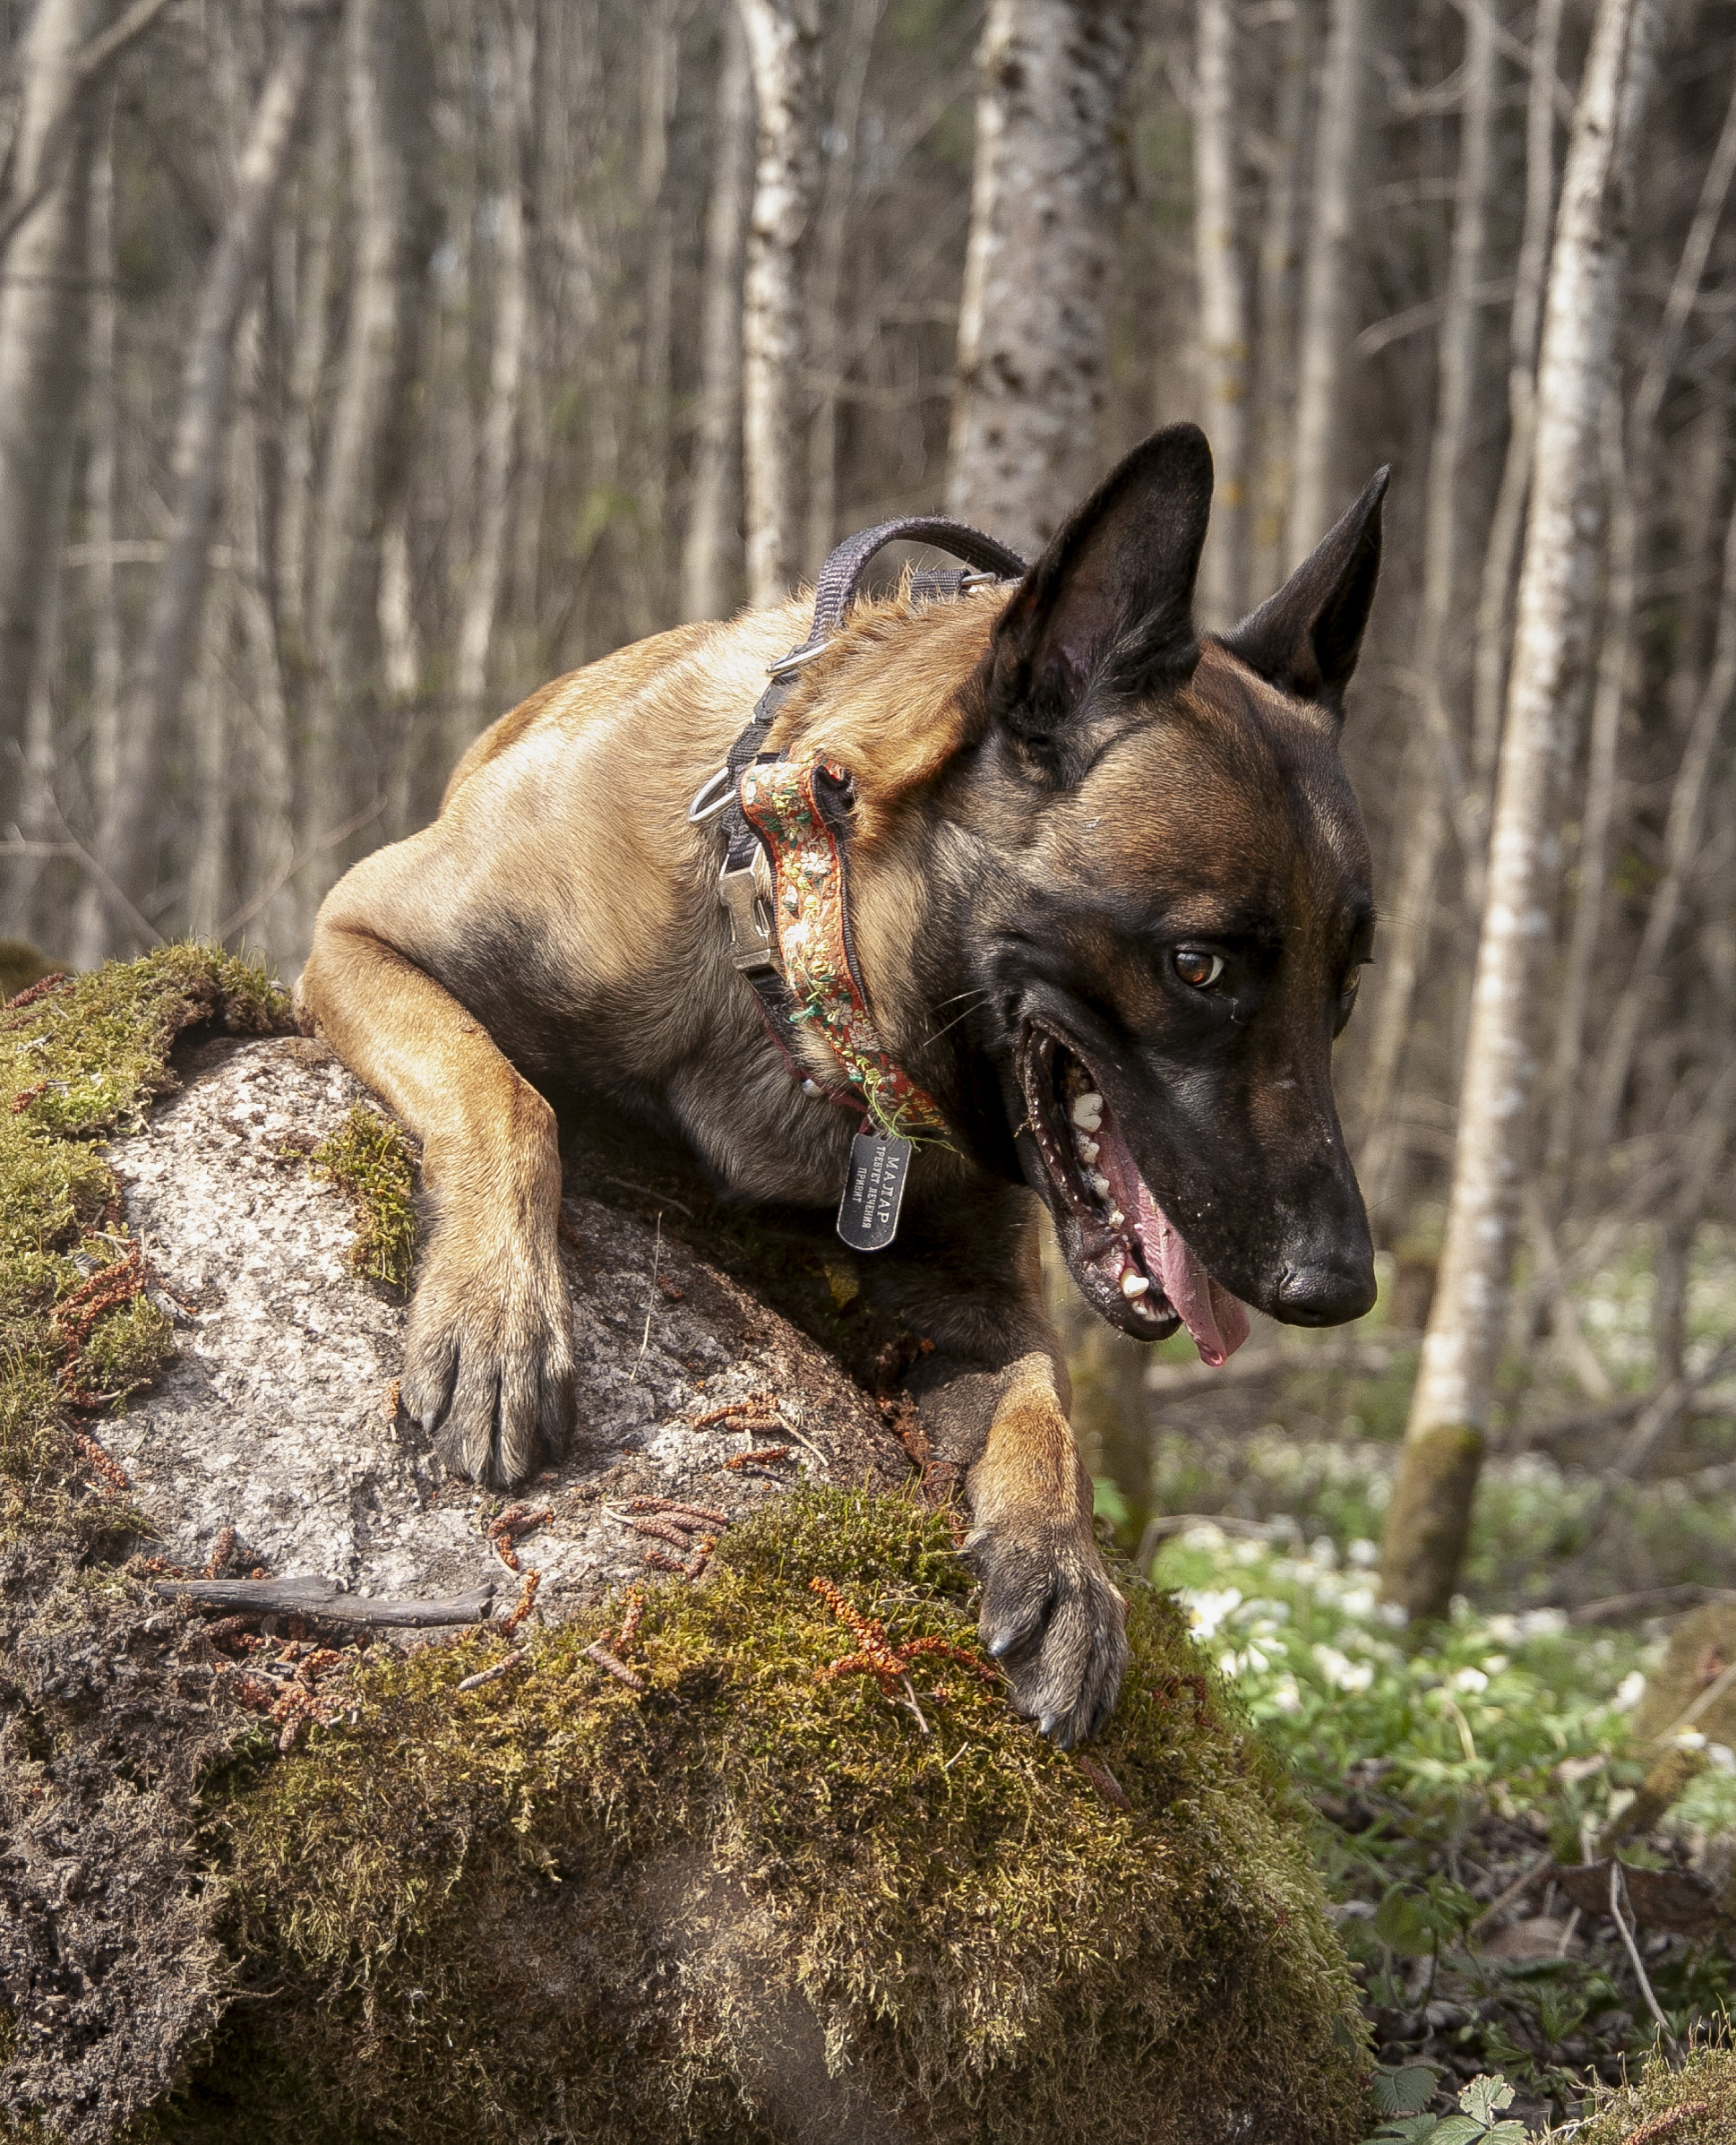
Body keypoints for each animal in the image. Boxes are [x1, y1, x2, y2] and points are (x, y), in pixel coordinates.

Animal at [293, 426, 1379, 1750]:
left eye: (1347, 982)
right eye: (1198, 964)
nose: (1341, 1286)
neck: (788, 953)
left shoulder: (981, 1297)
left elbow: (1046, 1400)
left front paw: (1062, 1558)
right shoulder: (353, 933)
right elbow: (507, 1096)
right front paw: (497, 1313)